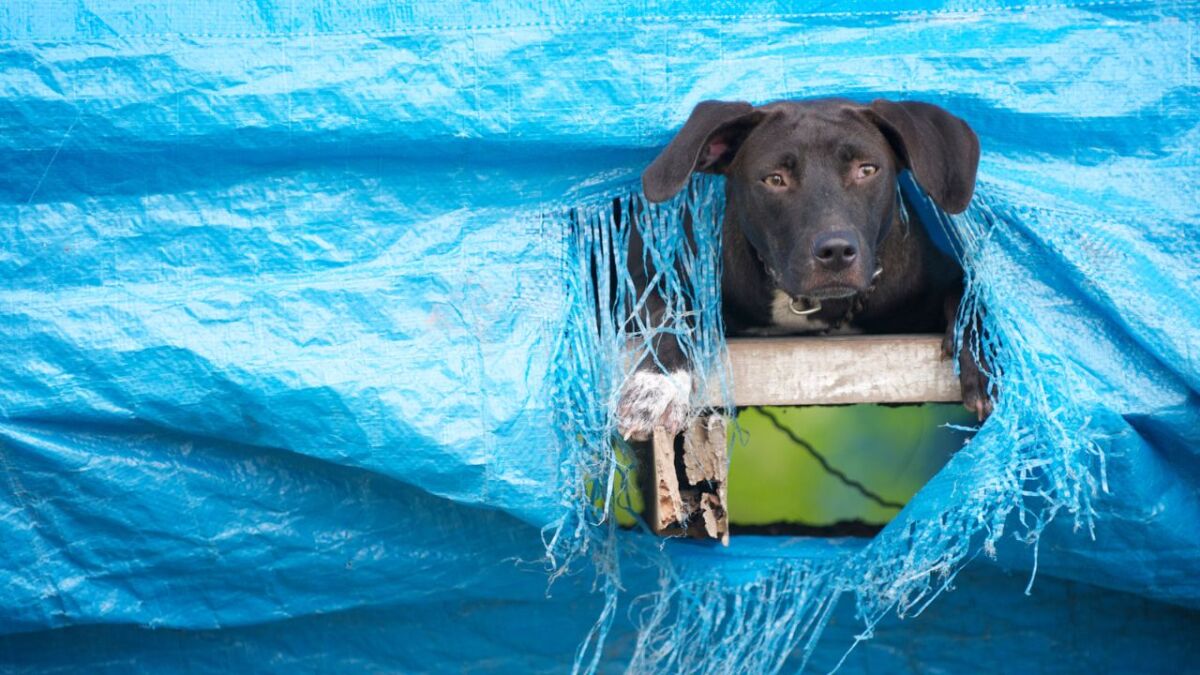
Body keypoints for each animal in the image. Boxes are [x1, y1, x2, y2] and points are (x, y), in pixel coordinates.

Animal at [614, 97, 988, 439]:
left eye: (867, 170)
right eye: (774, 179)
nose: (835, 251)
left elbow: (973, 293)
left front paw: (985, 357)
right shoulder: (643, 279)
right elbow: (676, 312)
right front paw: (657, 385)